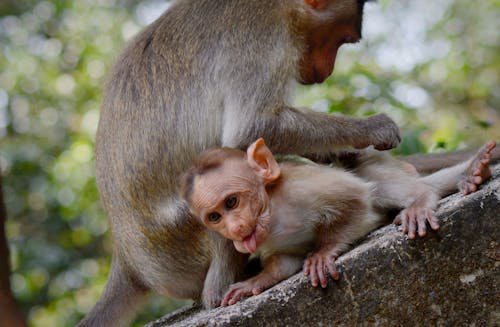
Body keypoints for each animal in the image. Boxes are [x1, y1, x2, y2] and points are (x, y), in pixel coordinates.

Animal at [79, 0, 402, 327]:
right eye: (342, 39)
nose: (326, 71)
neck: (284, 10)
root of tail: (127, 260)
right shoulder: (264, 38)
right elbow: (254, 127)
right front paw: (374, 128)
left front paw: (335, 153)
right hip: (182, 233)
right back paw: (227, 286)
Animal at [181, 138, 496, 308]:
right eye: (215, 217)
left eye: (232, 202)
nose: (234, 230)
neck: (275, 212)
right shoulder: (268, 238)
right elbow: (285, 261)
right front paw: (255, 282)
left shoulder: (303, 190)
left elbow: (356, 198)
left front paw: (324, 252)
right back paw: (471, 174)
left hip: (377, 166)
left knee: (382, 186)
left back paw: (423, 197)